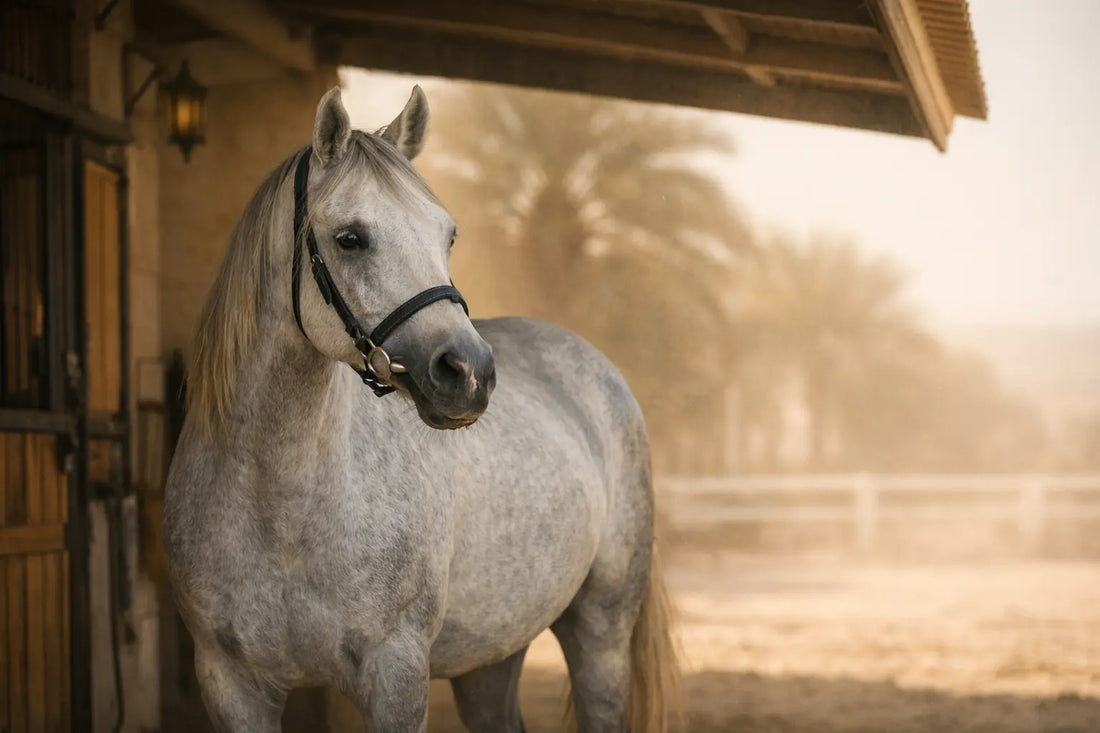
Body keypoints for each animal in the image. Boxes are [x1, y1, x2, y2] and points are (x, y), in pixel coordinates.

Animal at [163, 85, 677, 732]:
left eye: (447, 236)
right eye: (350, 237)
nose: (470, 373)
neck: (280, 505)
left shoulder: (396, 673)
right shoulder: (232, 684)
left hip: (601, 633)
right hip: (493, 652)